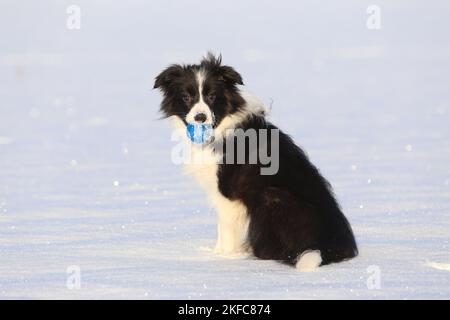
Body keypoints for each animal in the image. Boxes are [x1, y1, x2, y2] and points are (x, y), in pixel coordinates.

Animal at [155, 53, 358, 272]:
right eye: (186, 97)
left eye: (212, 96)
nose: (200, 117)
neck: (221, 125)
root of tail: (330, 248)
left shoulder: (228, 194)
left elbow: (226, 228)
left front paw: (223, 258)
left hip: (271, 198)